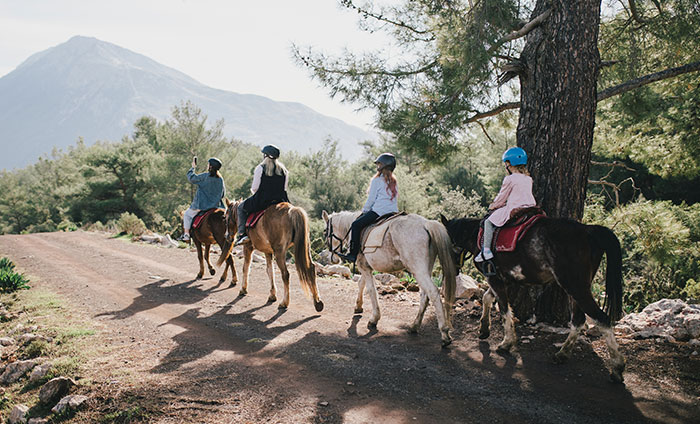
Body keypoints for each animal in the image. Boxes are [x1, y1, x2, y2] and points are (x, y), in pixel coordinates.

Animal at [320, 210, 456, 346]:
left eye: (325, 232)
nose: (333, 258)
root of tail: (426, 223)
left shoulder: (364, 267)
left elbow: (371, 290)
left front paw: (374, 319)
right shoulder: (365, 267)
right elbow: (361, 284)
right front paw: (358, 306)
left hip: (418, 269)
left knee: (432, 292)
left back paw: (444, 333)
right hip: (424, 269)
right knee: (424, 295)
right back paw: (414, 326)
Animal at [440, 214, 628, 382]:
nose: (452, 270)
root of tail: (588, 230)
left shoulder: (494, 278)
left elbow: (504, 309)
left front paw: (506, 343)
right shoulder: (504, 280)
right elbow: (488, 299)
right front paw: (484, 329)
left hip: (575, 286)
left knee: (602, 319)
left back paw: (617, 368)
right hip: (577, 288)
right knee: (578, 320)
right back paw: (562, 354)